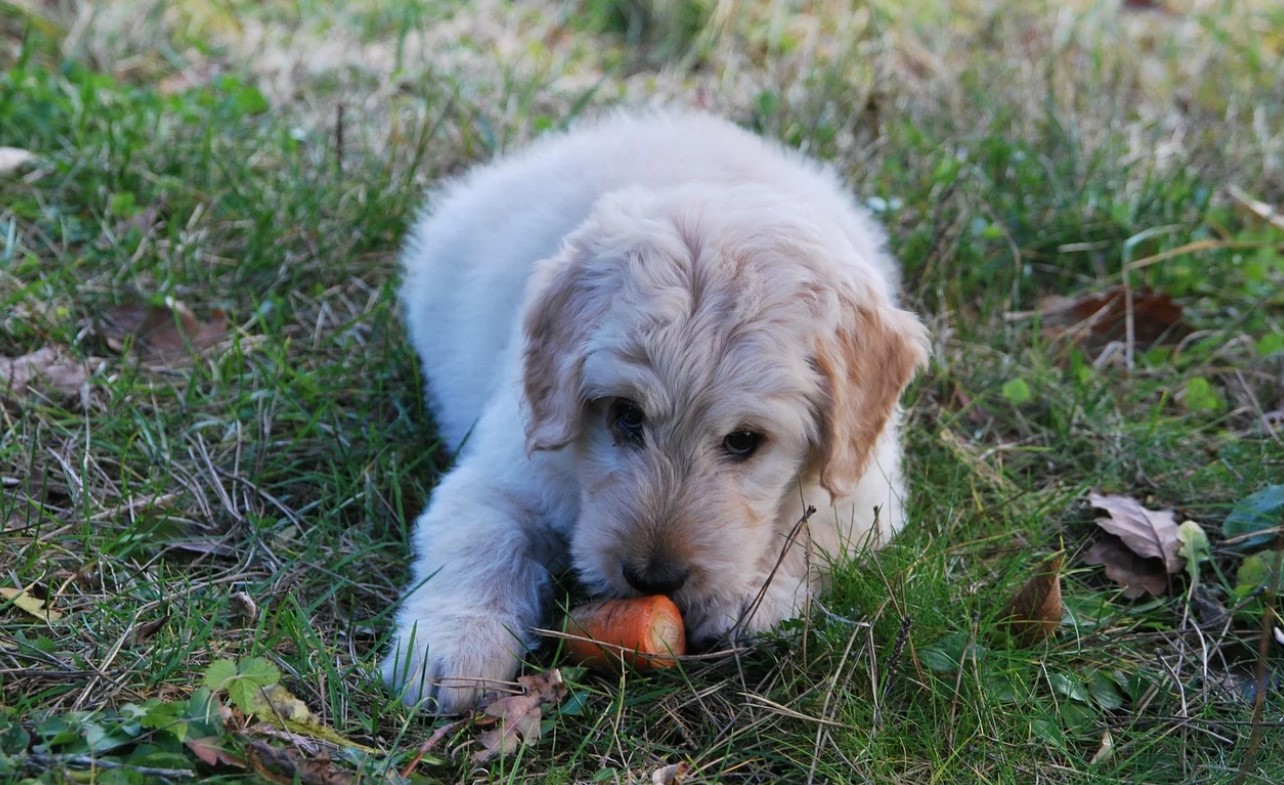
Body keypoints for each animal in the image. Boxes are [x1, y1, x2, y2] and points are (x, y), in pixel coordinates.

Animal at [380, 107, 924, 714]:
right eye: (625, 415)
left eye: (744, 441)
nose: (652, 579)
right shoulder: (503, 470)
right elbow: (481, 543)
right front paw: (453, 647)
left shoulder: (865, 493)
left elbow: (810, 534)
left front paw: (750, 596)